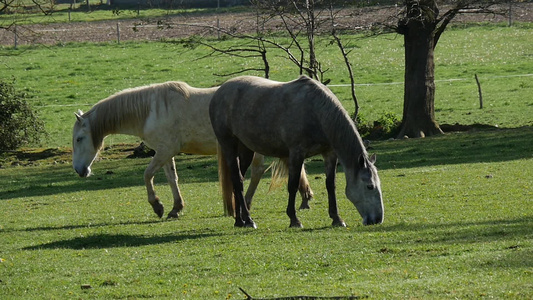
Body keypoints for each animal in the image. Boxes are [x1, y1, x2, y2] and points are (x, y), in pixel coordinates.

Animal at [70, 81, 312, 219]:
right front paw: (176, 208)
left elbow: (147, 174)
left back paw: (248, 203)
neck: (151, 110)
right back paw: (304, 198)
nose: (80, 170)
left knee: (258, 171)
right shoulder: (165, 152)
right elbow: (172, 179)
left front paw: (157, 206)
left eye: (79, 138)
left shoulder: (165, 151)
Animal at [208, 75, 382, 227]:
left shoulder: (329, 154)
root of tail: (219, 92)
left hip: (246, 150)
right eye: (370, 186)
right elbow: (292, 185)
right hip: (229, 146)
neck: (315, 111)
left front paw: (337, 219)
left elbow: (330, 185)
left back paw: (240, 220)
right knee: (237, 181)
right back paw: (248, 220)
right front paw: (294, 220)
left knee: (238, 180)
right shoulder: (296, 154)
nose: (377, 219)